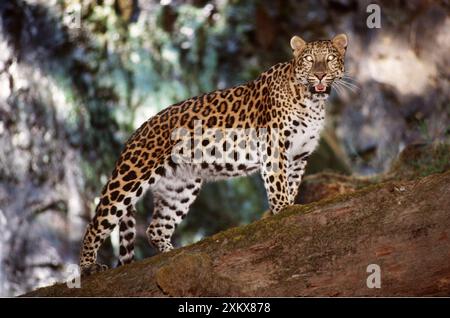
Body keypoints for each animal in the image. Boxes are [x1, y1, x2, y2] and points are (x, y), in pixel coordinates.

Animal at [80, 33, 348, 276]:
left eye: (330, 59)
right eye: (310, 60)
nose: (320, 75)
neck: (312, 101)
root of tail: (135, 131)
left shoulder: (298, 156)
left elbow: (291, 185)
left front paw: (289, 207)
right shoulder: (274, 145)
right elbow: (278, 184)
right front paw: (282, 211)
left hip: (180, 186)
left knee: (155, 228)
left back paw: (171, 251)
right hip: (130, 178)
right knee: (96, 223)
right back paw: (88, 266)